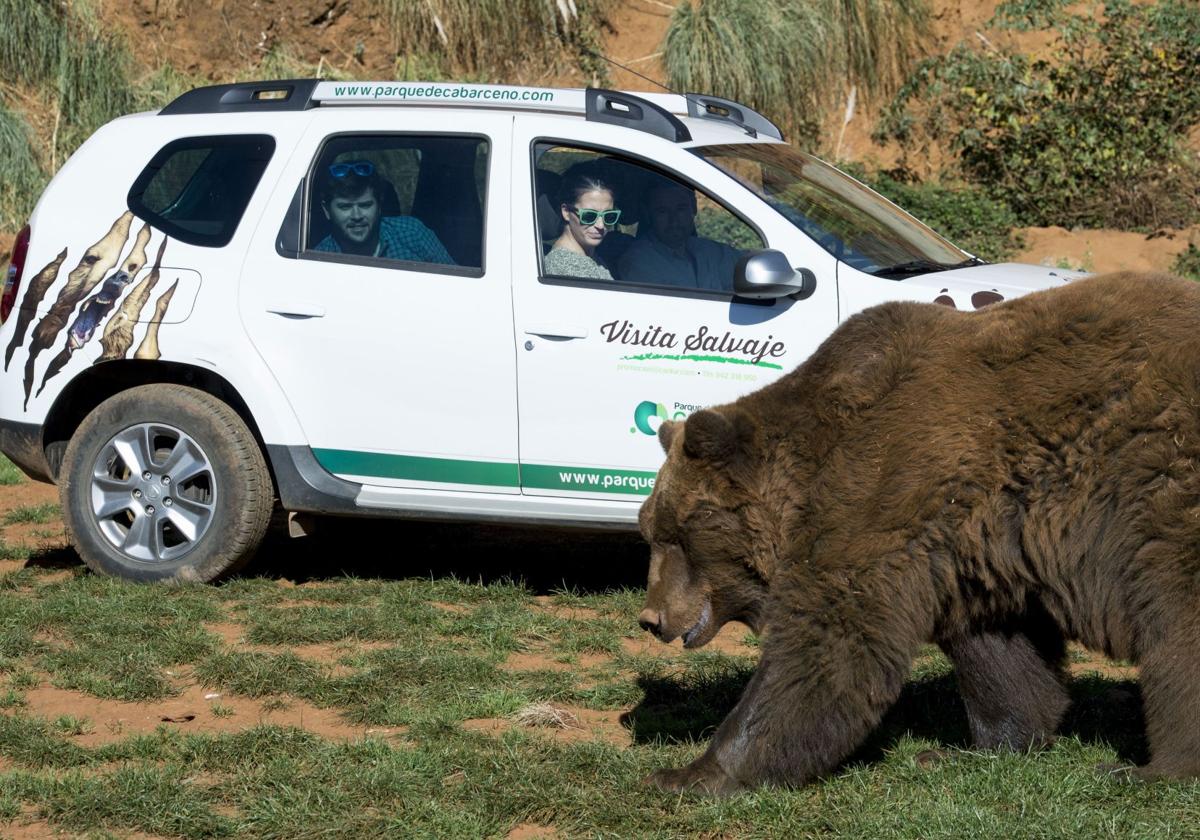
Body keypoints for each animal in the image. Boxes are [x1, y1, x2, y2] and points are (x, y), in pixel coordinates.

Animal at [638, 273, 1200, 792]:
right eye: (650, 528)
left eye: (674, 533)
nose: (651, 618)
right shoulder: (970, 537)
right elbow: (998, 649)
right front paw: (976, 748)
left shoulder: (881, 489)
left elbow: (830, 640)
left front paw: (692, 773)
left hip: (1162, 481)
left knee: (1175, 616)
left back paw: (1150, 769)